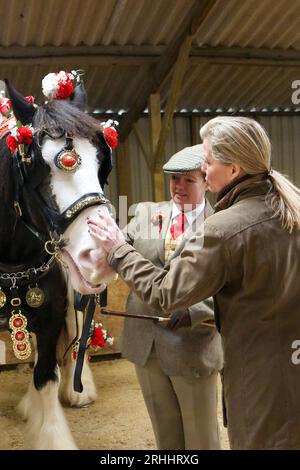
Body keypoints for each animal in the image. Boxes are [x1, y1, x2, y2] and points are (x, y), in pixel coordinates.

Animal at [0, 76, 117, 448]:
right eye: (37, 165)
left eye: (100, 162)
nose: (100, 254)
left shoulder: (51, 312)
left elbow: (46, 375)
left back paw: (78, 391)